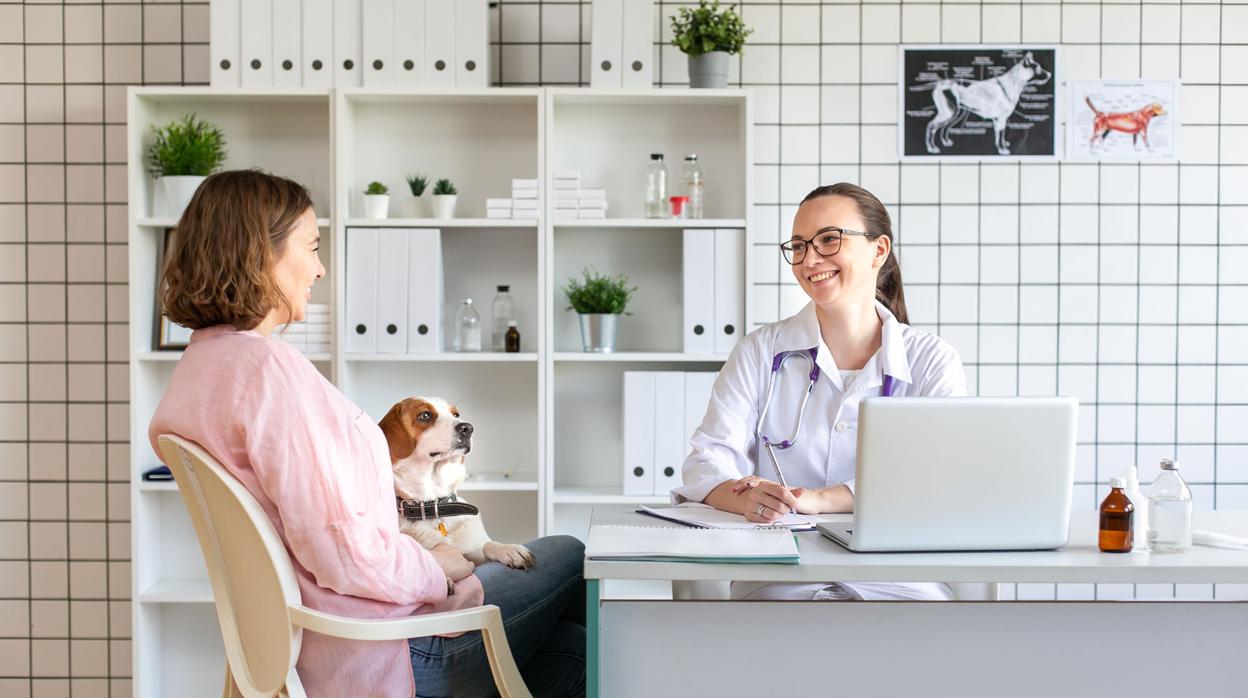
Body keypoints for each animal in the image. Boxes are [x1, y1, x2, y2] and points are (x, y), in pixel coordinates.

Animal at [379, 397, 536, 571]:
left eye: (456, 414)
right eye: (425, 415)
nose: (468, 428)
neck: (434, 507)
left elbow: (486, 545)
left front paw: (507, 549)